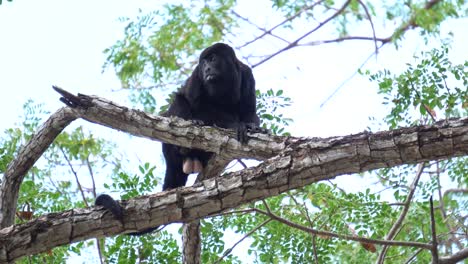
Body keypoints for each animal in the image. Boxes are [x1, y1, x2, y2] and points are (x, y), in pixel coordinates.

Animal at [95, 43, 264, 235]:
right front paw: (235, 125)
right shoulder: (196, 76)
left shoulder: (247, 74)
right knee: (179, 102)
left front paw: (253, 126)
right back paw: (185, 141)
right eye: (203, 62)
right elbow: (194, 101)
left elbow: (249, 111)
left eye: (213, 59)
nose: (206, 68)